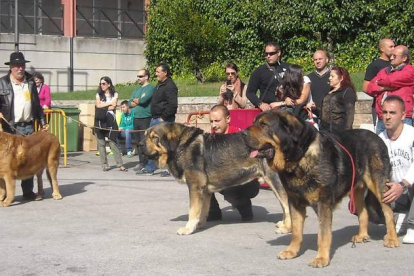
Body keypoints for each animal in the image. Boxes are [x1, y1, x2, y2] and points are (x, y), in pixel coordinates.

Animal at [142, 122, 292, 235]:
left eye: (154, 138)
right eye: (145, 136)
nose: (139, 144)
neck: (182, 146)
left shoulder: (195, 187)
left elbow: (193, 210)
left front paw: (188, 228)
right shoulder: (206, 191)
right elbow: (203, 210)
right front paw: (200, 224)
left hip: (274, 180)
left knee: (286, 204)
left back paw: (287, 228)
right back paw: (283, 223)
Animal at [243, 110, 398, 268]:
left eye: (264, 125)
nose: (243, 133)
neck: (299, 159)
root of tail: (377, 137)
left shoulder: (323, 203)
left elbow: (323, 234)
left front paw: (321, 258)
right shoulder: (295, 201)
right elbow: (296, 231)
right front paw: (291, 251)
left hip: (378, 184)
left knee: (388, 212)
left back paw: (392, 239)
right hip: (356, 189)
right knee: (363, 212)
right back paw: (362, 235)